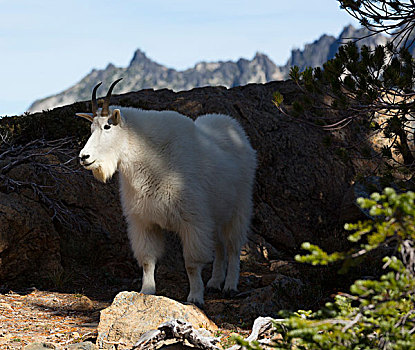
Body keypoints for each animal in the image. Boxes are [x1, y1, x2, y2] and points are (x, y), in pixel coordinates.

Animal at [75, 79, 256, 306]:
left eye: (107, 126)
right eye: (91, 127)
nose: (84, 157)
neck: (149, 155)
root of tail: (236, 129)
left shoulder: (193, 221)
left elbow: (191, 264)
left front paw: (195, 297)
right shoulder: (144, 221)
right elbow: (147, 260)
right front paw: (146, 291)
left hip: (239, 207)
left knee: (232, 246)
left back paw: (230, 286)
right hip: (216, 213)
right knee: (219, 247)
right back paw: (215, 283)